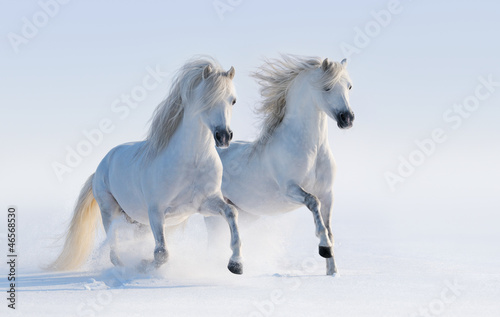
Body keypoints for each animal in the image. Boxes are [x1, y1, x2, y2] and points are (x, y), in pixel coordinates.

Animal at [50, 57, 244, 274]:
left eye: (233, 100)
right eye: (206, 99)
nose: (224, 136)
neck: (192, 162)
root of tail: (100, 167)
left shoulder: (204, 203)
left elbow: (231, 212)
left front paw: (236, 264)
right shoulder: (156, 212)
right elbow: (162, 253)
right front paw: (144, 265)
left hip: (138, 222)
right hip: (110, 211)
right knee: (113, 249)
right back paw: (124, 267)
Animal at [209, 54, 354, 274]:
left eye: (349, 86)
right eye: (327, 87)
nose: (347, 118)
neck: (312, 150)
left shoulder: (328, 194)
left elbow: (329, 229)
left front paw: (332, 272)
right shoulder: (290, 189)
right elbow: (313, 203)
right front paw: (324, 248)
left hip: (246, 213)